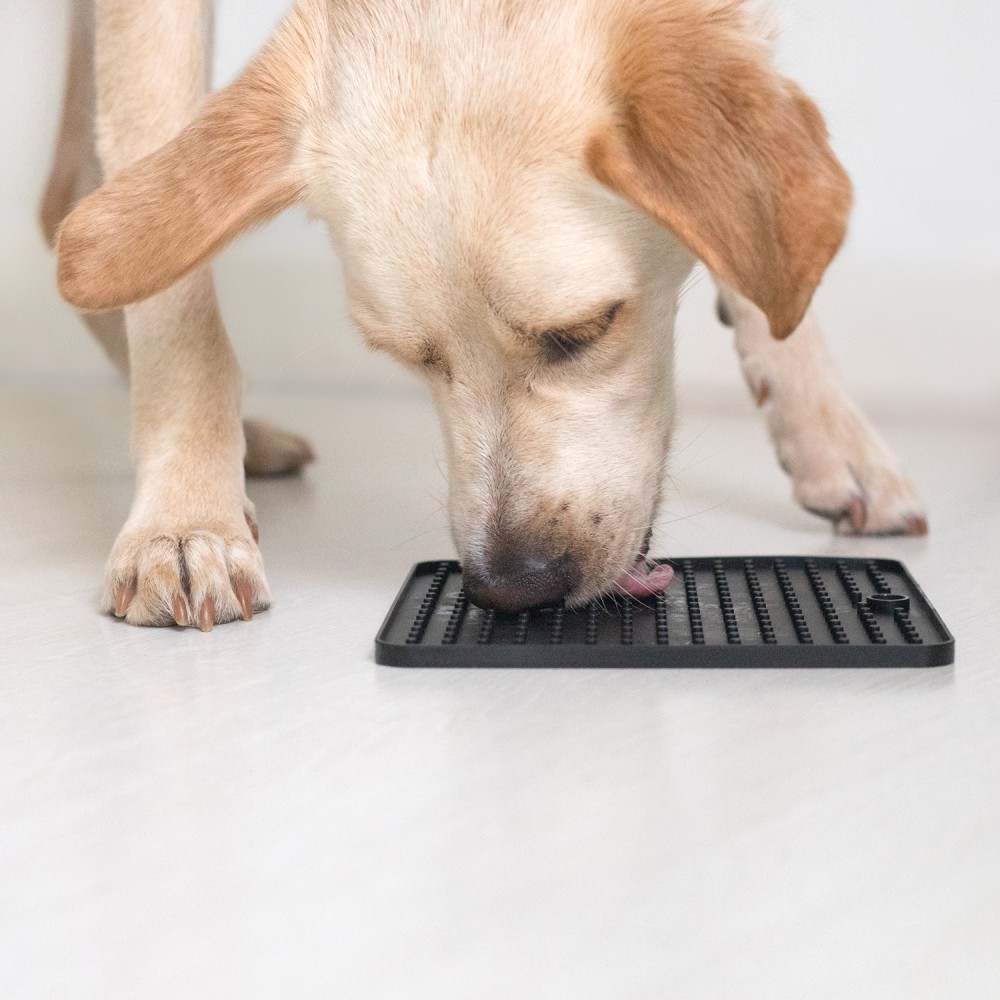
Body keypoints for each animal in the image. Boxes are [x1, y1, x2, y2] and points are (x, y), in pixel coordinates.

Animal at [43, 0, 924, 628]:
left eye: (584, 331)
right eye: (406, 355)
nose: (510, 589)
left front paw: (828, 432)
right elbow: (167, 273)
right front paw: (184, 516)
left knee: (72, 205)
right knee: (88, 213)